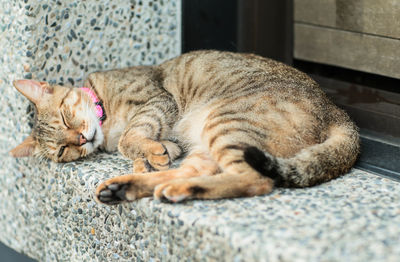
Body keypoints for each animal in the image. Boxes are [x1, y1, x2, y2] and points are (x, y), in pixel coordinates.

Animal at [9, 50, 360, 204]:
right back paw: (128, 186)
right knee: (191, 174)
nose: (81, 138)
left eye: (65, 117)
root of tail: (335, 110)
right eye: (62, 150)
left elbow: (131, 137)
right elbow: (143, 148)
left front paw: (146, 150)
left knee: (255, 181)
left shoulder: (156, 100)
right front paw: (148, 158)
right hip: (212, 141)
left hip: (226, 123)